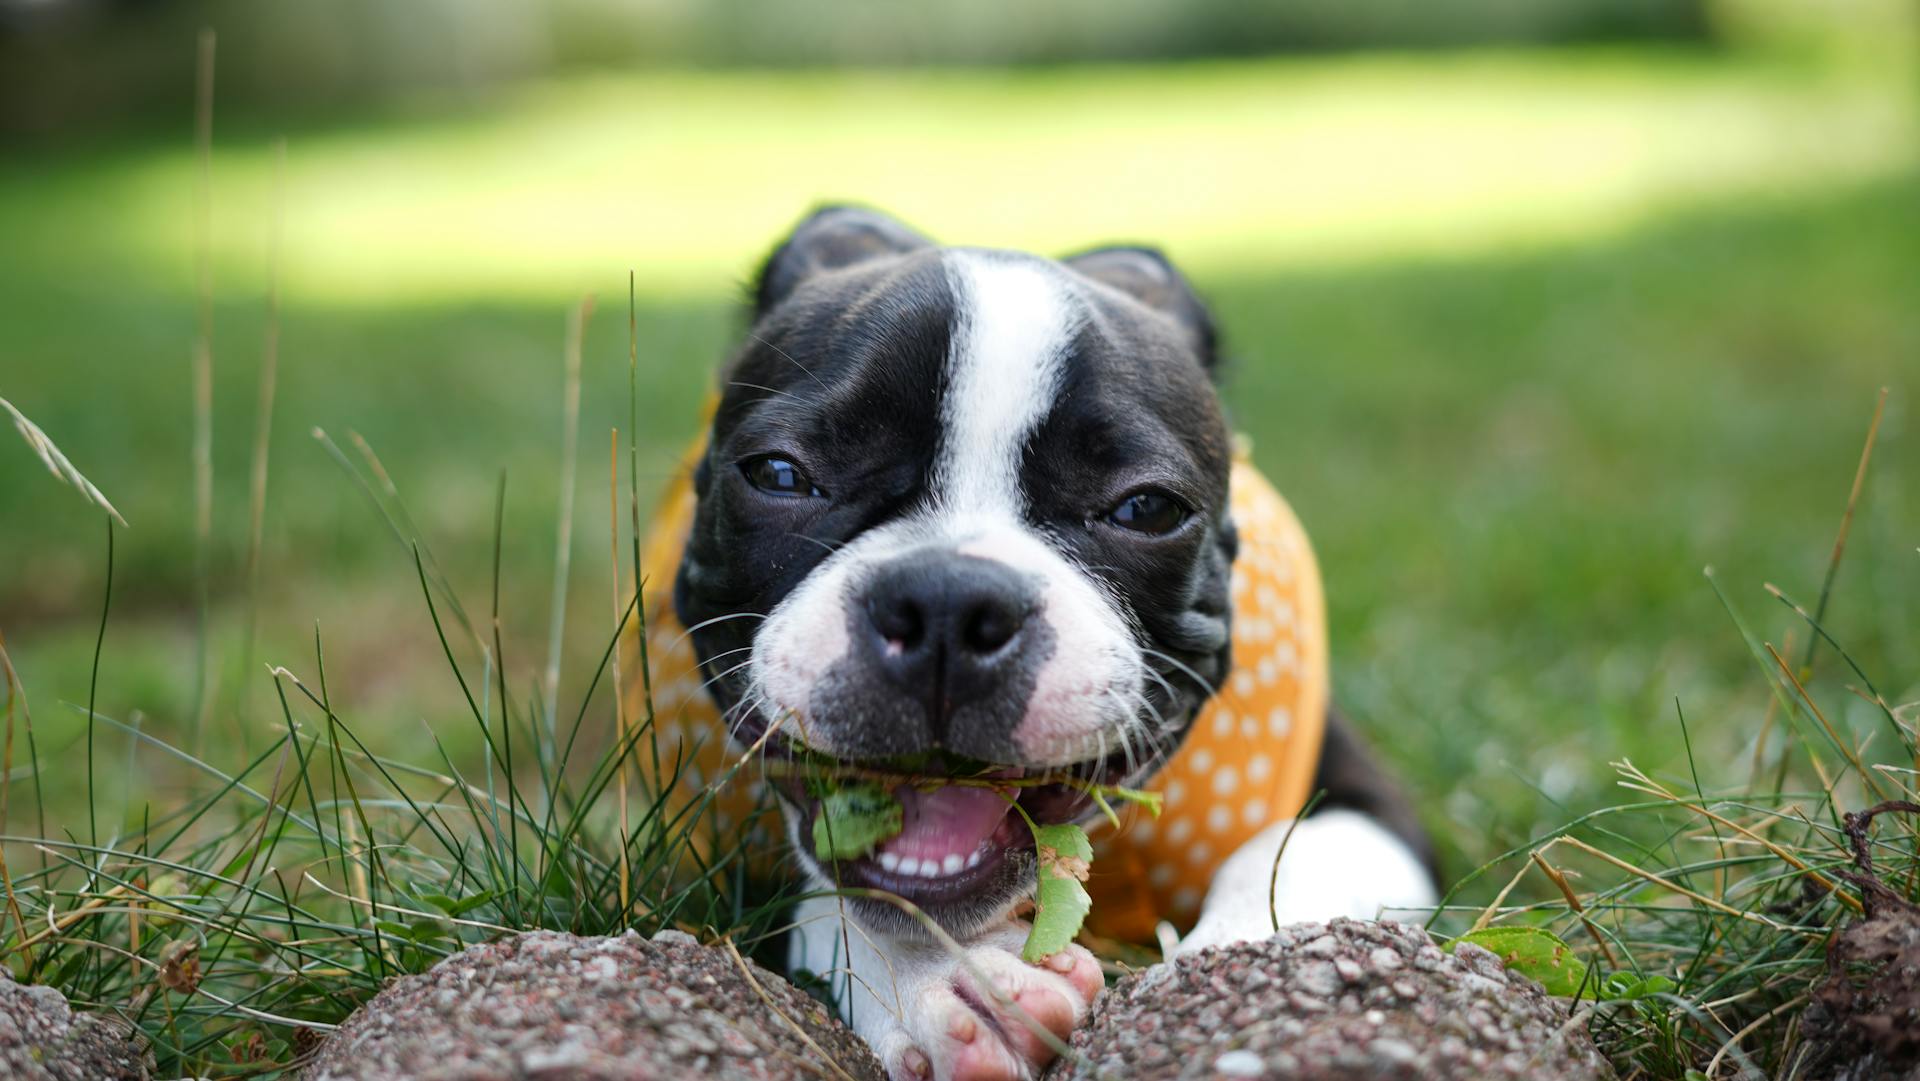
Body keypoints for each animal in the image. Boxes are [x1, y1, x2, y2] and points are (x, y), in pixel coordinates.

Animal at [629, 209, 1443, 1081]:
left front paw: (1241, 973)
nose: (947, 600)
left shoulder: (1369, 803)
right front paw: (939, 976)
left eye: (1148, 507)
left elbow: (1289, 857)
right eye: (779, 474)